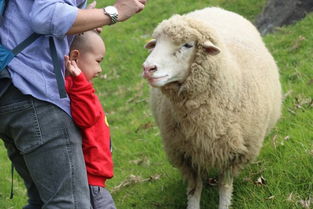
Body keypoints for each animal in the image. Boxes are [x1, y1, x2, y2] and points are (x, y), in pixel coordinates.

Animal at [141, 6, 280, 209]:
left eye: (188, 45)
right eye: (156, 43)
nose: (148, 68)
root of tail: (214, 8)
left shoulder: (233, 153)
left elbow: (224, 186)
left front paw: (224, 204)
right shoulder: (187, 155)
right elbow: (194, 189)